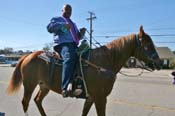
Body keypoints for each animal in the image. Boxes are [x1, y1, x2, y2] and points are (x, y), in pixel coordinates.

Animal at [5, 25, 161, 115]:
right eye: (148, 44)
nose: (159, 63)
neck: (104, 62)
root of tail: (28, 55)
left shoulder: (92, 97)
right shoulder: (100, 98)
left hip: (44, 86)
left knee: (37, 101)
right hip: (29, 85)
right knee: (25, 103)